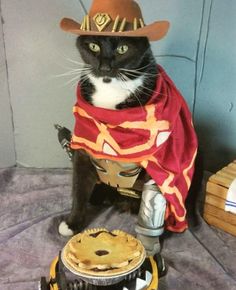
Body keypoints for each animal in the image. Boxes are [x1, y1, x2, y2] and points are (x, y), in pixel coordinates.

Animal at [58, 35, 159, 237]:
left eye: (123, 48)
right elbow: (79, 187)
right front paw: (72, 223)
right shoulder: (83, 149)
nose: (104, 67)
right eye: (93, 46)